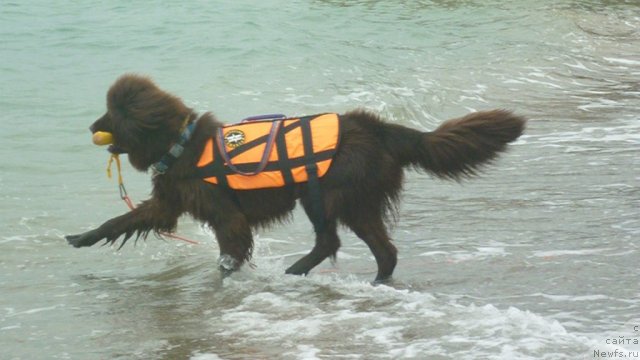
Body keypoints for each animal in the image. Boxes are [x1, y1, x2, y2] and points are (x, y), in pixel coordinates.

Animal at [66, 74, 524, 282]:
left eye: (112, 115)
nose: (89, 126)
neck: (181, 144)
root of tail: (376, 127)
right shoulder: (167, 204)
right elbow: (119, 221)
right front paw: (81, 237)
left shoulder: (227, 217)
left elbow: (229, 253)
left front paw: (226, 280)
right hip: (354, 201)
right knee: (385, 250)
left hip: (325, 194)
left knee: (332, 241)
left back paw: (295, 271)